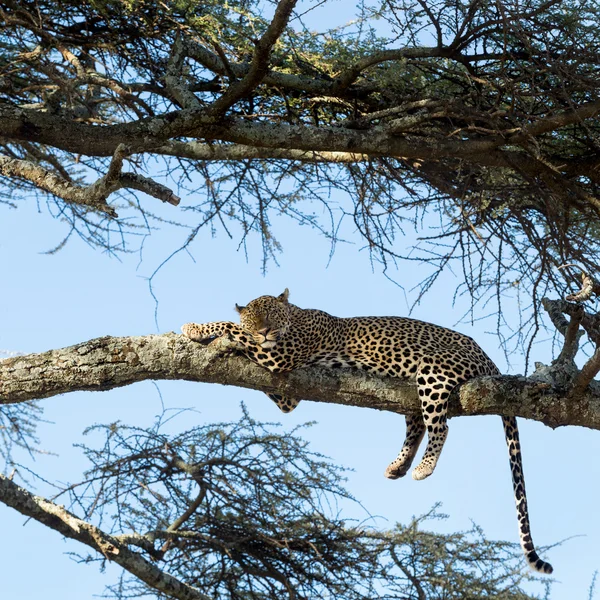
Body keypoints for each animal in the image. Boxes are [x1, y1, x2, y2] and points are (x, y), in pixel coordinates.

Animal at [182, 288, 552, 576]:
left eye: (270, 314)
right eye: (254, 319)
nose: (264, 332)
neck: (297, 316)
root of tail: (489, 359)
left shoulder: (281, 356)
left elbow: (229, 326)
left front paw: (197, 328)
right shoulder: (287, 393)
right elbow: (243, 341)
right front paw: (219, 338)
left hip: (433, 372)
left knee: (440, 426)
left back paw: (423, 467)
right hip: (412, 394)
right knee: (417, 425)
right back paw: (399, 465)